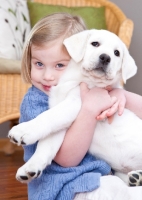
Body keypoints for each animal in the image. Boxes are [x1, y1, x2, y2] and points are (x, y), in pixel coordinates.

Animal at [8, 29, 142, 188]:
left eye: (116, 53)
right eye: (95, 44)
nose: (105, 57)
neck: (77, 79)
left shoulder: (76, 103)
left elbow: (48, 116)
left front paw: (24, 130)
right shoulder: (62, 125)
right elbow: (46, 145)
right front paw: (31, 167)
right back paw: (137, 178)